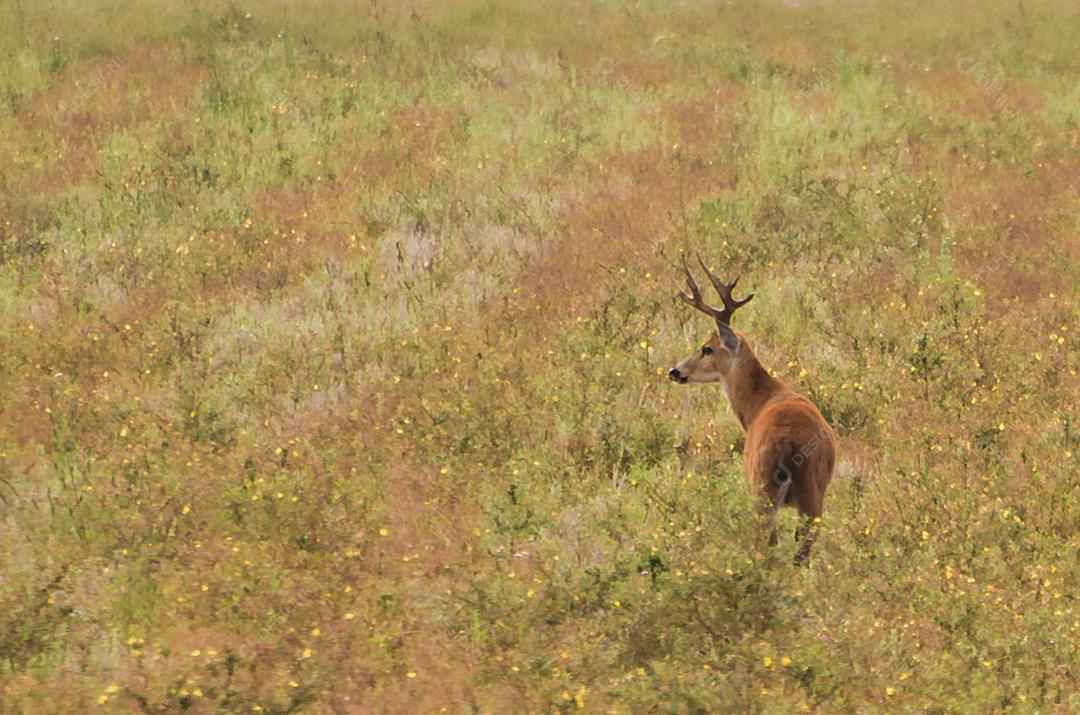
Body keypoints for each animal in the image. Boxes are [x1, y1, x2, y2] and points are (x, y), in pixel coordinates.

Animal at [667, 255, 836, 564]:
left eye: (706, 348)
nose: (674, 370)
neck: (759, 403)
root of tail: (788, 441)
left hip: (761, 485)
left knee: (766, 541)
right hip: (813, 490)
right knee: (802, 546)